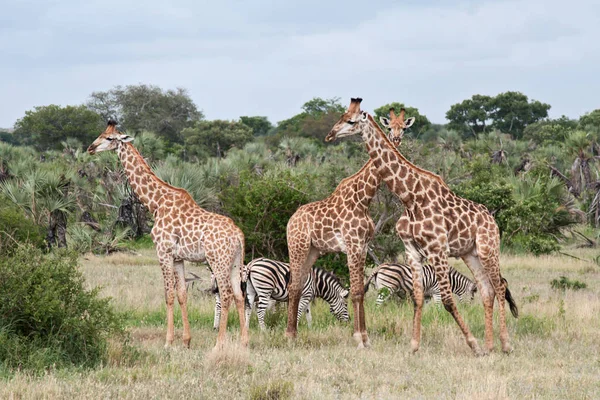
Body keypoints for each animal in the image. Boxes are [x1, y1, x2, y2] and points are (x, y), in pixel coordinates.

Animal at [86, 119, 248, 350]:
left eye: (109, 138)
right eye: (100, 134)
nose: (90, 148)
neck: (156, 203)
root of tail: (239, 235)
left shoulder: (162, 252)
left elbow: (168, 294)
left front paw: (168, 342)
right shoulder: (178, 257)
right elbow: (182, 294)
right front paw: (186, 341)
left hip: (218, 260)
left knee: (225, 295)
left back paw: (219, 344)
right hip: (235, 261)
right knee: (239, 294)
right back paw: (244, 342)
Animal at [212, 258, 350, 330]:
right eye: (346, 305)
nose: (349, 321)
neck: (315, 282)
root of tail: (251, 265)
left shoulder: (307, 297)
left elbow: (308, 315)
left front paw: (310, 329)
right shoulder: (304, 296)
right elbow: (298, 312)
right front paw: (295, 328)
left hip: (250, 292)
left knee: (247, 309)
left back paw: (245, 328)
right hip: (264, 289)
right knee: (259, 311)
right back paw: (263, 330)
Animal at [284, 114, 412, 348]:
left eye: (404, 128)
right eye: (389, 128)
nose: (397, 139)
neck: (364, 198)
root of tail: (291, 220)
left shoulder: (362, 246)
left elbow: (360, 290)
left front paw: (365, 337)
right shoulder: (352, 245)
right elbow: (354, 292)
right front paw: (358, 338)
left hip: (312, 251)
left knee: (297, 286)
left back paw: (294, 334)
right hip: (297, 246)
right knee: (293, 286)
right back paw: (289, 336)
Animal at [326, 98, 516, 354]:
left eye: (351, 121)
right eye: (342, 116)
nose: (330, 135)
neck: (410, 197)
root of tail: (491, 219)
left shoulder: (438, 249)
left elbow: (447, 300)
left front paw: (473, 345)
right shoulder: (412, 251)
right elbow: (417, 298)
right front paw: (414, 346)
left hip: (489, 248)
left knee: (500, 286)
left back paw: (504, 344)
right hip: (470, 253)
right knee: (487, 290)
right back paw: (490, 345)